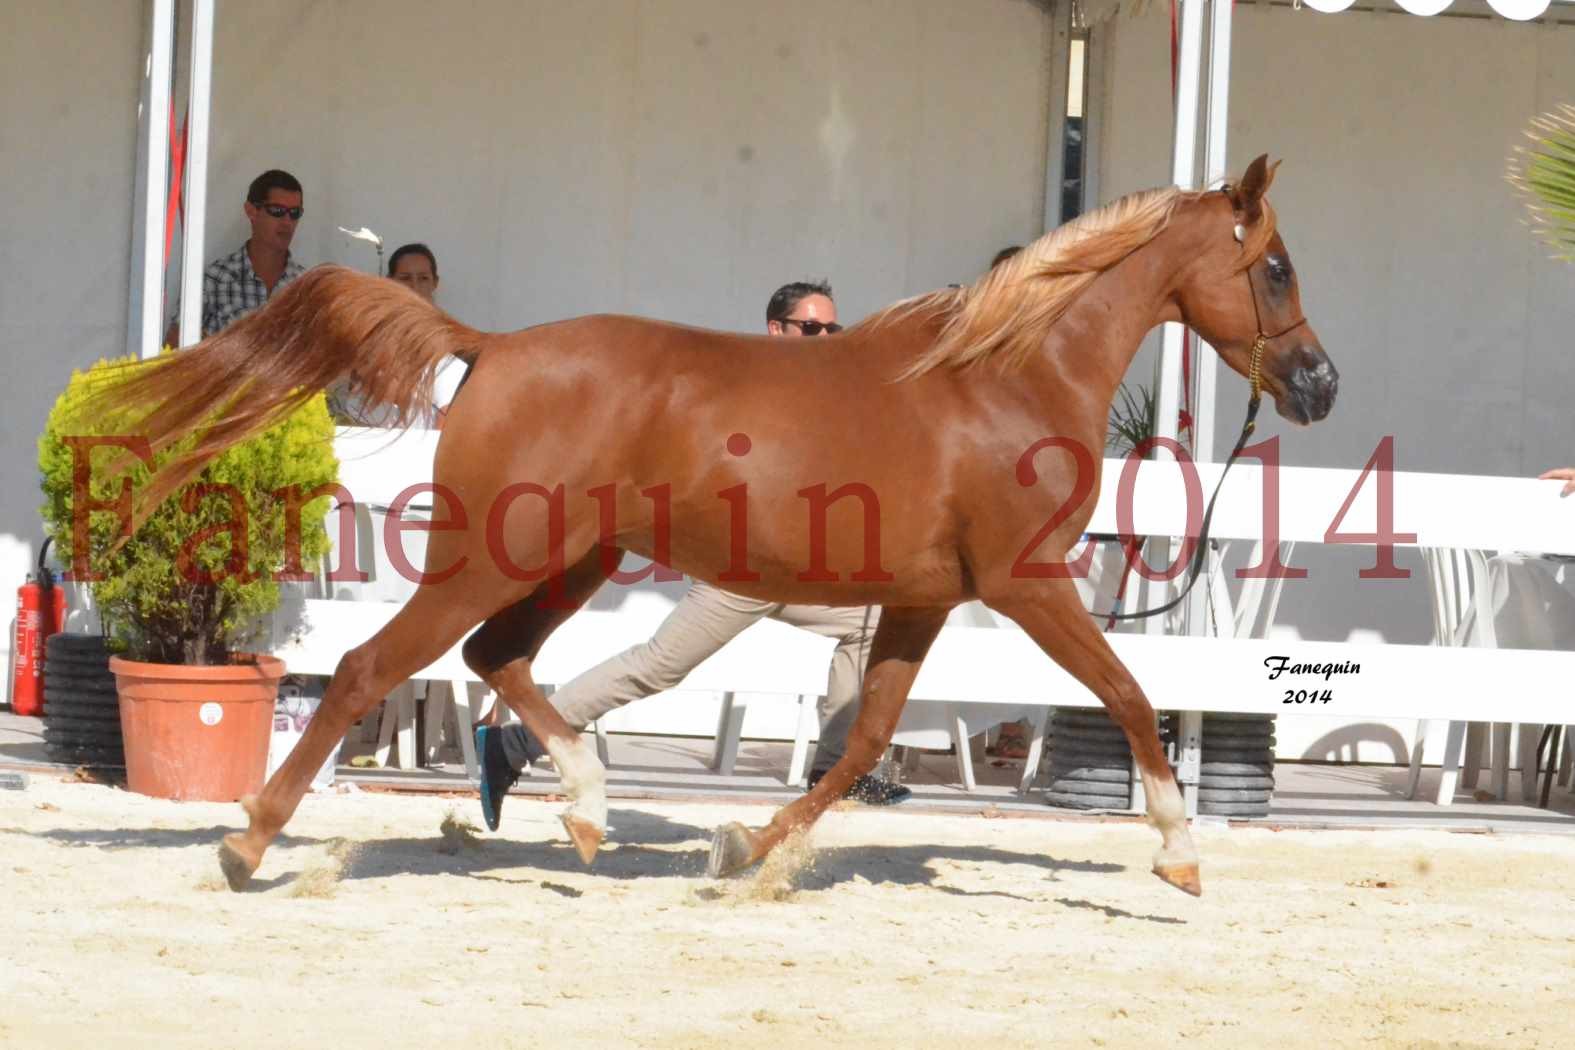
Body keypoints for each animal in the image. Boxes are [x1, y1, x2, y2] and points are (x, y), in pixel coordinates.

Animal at [98, 155, 1329, 894]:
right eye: (1273, 266)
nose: (1318, 384)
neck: (1004, 376)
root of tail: (492, 347)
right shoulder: (1025, 584)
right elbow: (1127, 693)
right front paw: (1179, 853)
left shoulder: (922, 599)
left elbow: (864, 744)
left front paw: (747, 847)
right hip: (492, 556)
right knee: (369, 668)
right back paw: (246, 841)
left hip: (568, 560)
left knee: (496, 660)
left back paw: (587, 812)